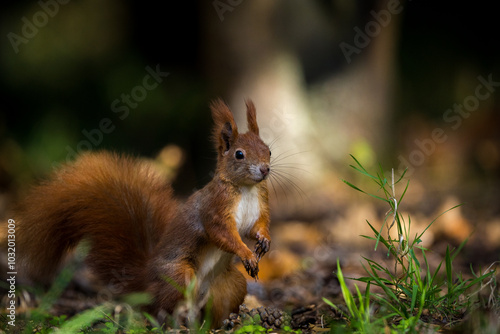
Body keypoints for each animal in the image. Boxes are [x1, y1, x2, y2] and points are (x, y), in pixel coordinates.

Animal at [14, 98, 274, 326]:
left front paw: (264, 241)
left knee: (214, 309)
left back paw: (226, 322)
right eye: (239, 154)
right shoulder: (215, 208)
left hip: (231, 284)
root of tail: (148, 281)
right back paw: (176, 323)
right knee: (166, 306)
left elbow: (256, 226)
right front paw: (246, 252)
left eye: (268, 150)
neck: (245, 189)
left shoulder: (260, 204)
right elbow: (222, 233)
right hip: (179, 276)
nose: (265, 169)